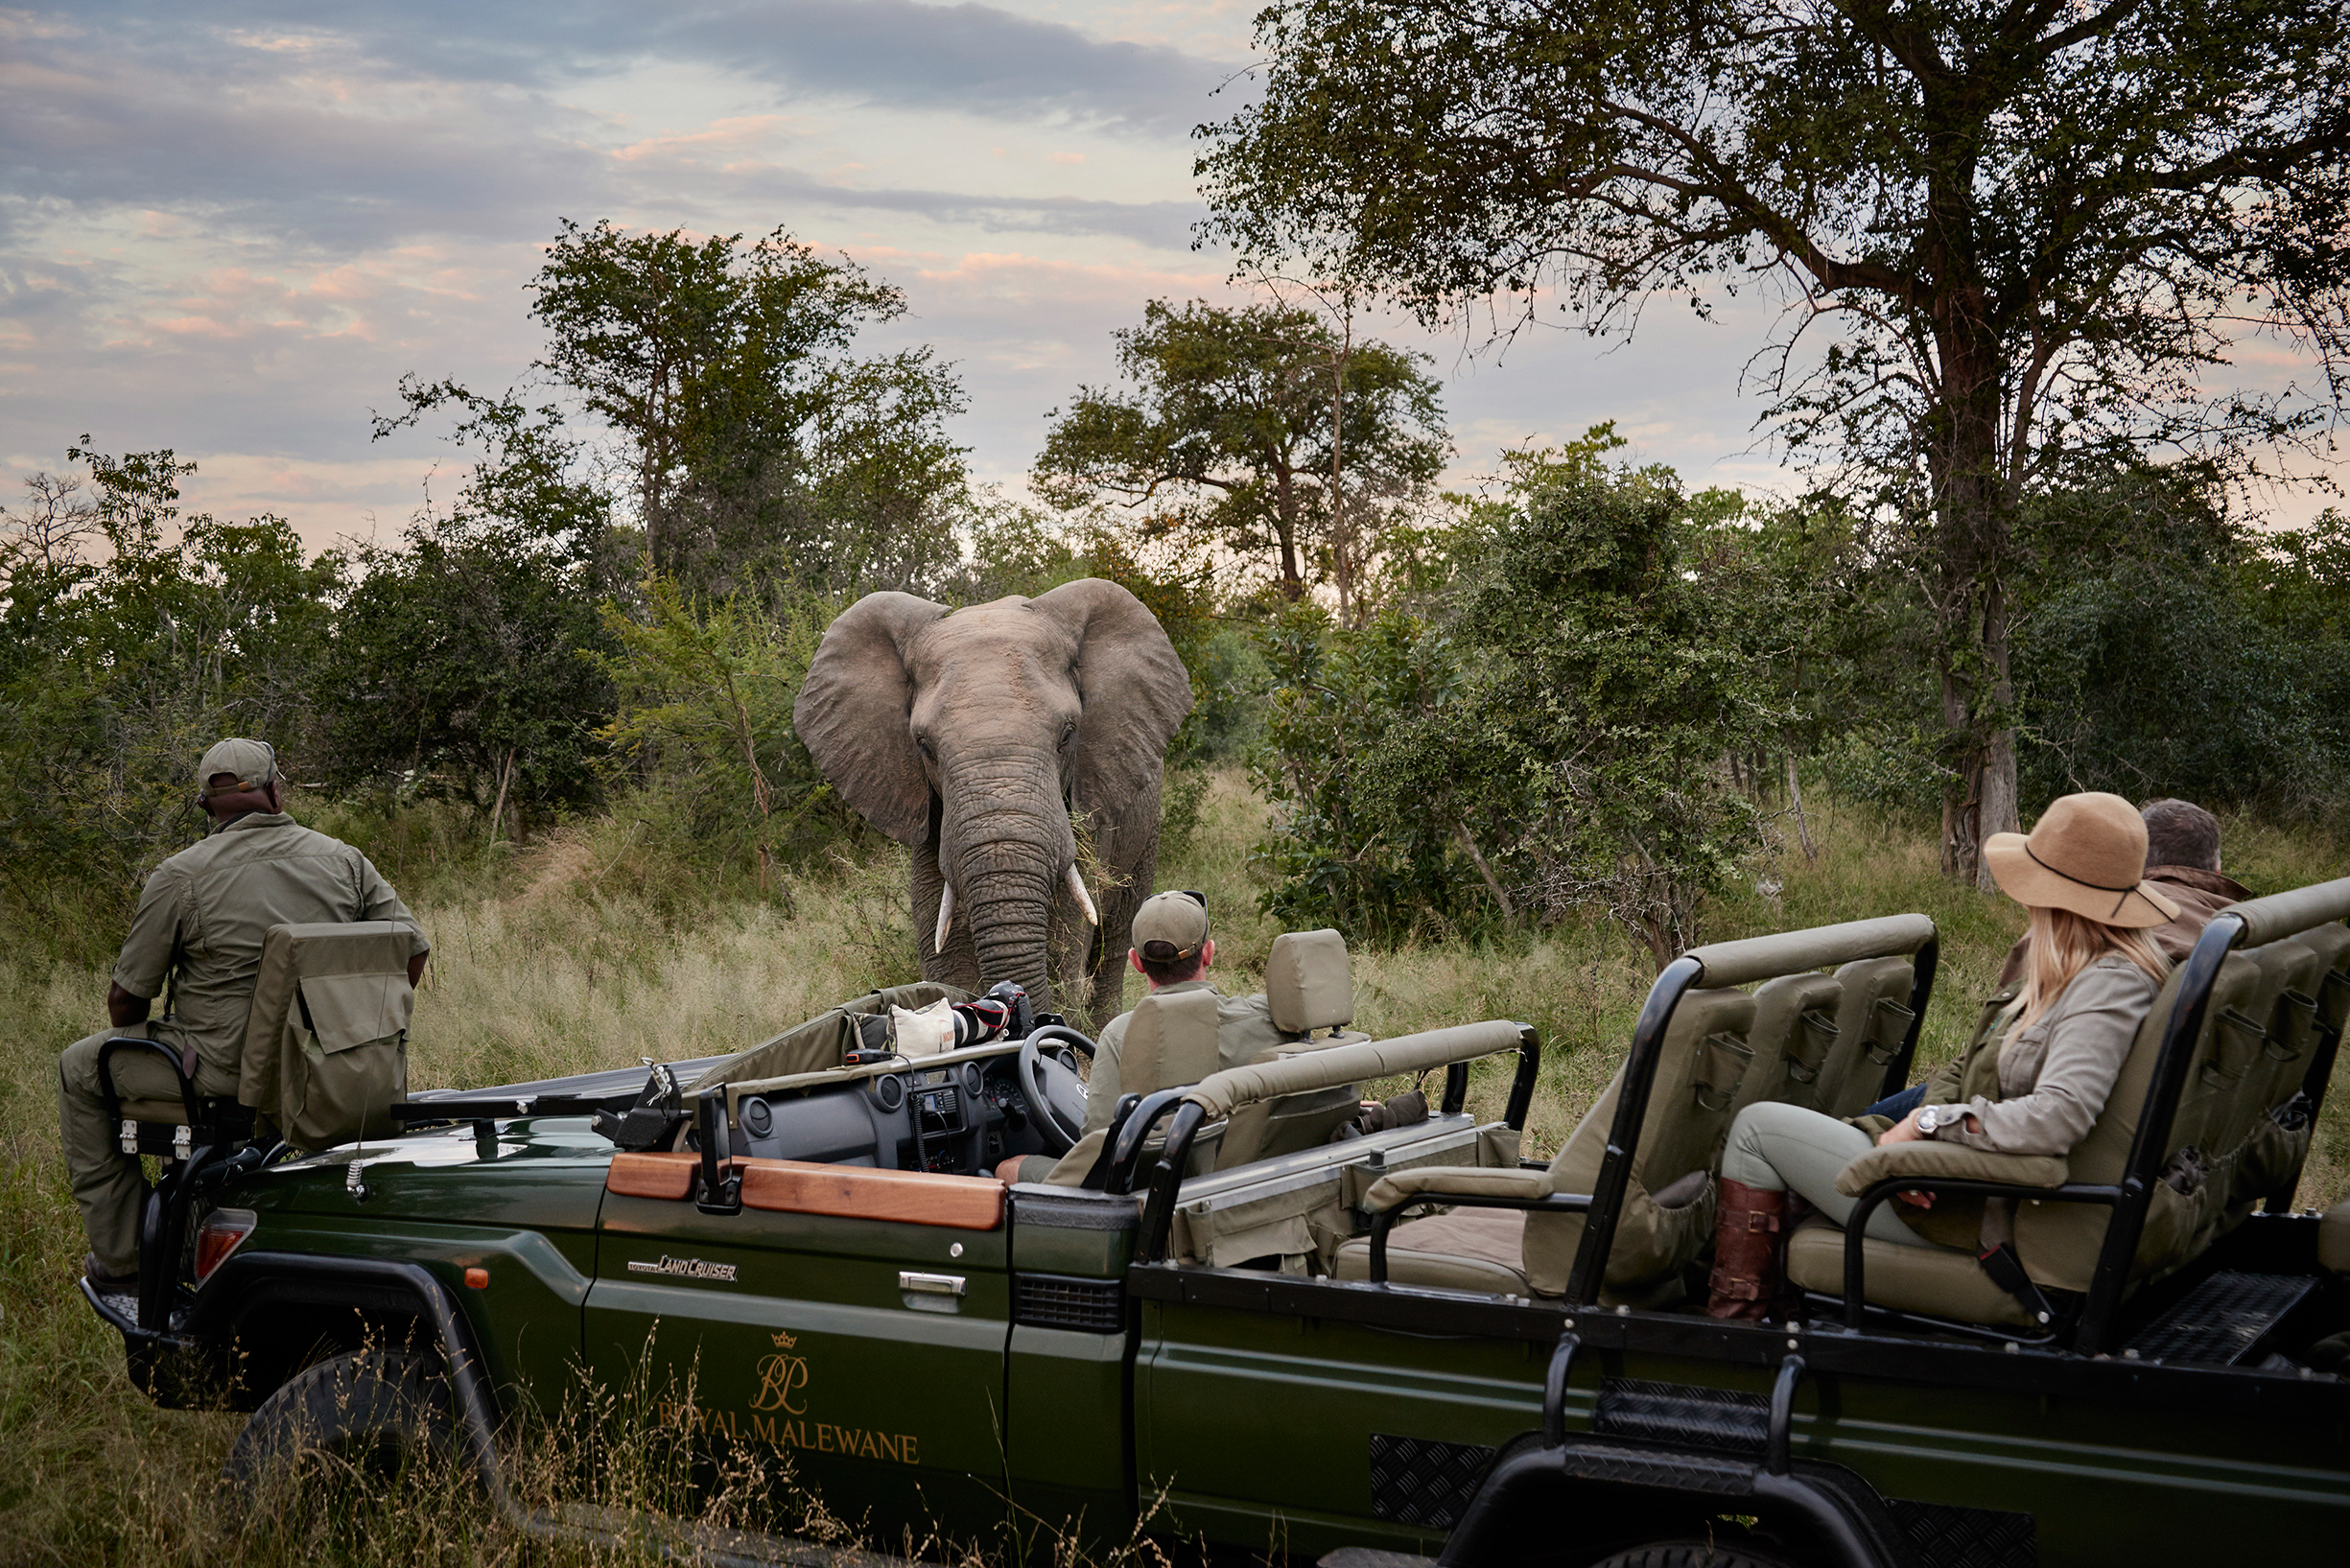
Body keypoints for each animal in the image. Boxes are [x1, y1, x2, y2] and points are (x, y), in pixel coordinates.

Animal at [794, 579, 1193, 1025]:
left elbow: (1064, 952)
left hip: (1145, 824)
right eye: (923, 746)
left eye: (1068, 734)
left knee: (1115, 940)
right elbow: (947, 957)